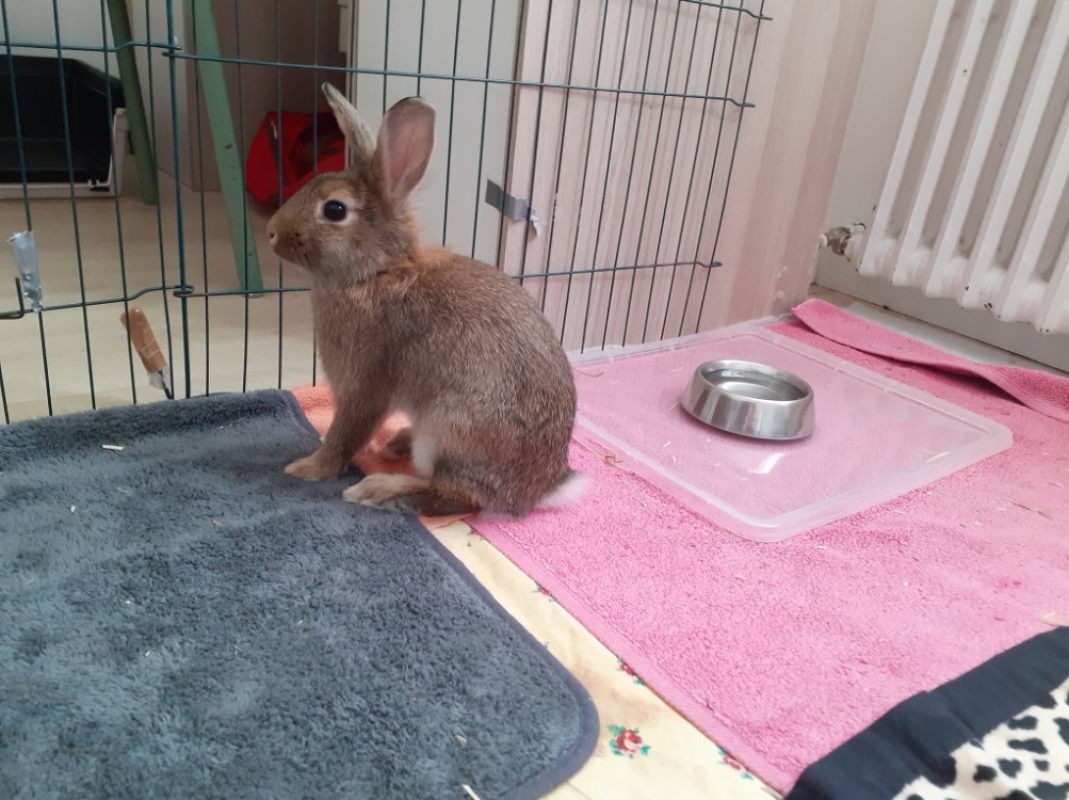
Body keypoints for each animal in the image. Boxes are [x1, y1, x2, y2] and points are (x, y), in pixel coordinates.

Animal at [266, 83, 583, 517]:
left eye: (334, 210)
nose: (271, 231)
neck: (376, 272)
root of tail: (539, 490)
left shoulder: (363, 384)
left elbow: (346, 432)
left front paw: (309, 468)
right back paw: (397, 442)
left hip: (449, 428)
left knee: (456, 495)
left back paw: (380, 488)